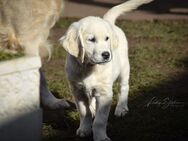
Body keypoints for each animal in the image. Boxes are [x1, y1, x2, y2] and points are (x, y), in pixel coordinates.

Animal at [59, 0, 153, 140]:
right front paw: (84, 129)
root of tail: (108, 21)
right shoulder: (77, 91)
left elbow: (100, 120)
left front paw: (100, 137)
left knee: (124, 87)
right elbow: (84, 112)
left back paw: (121, 108)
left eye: (107, 38)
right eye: (91, 39)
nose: (106, 55)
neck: (89, 67)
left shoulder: (104, 94)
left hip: (124, 68)